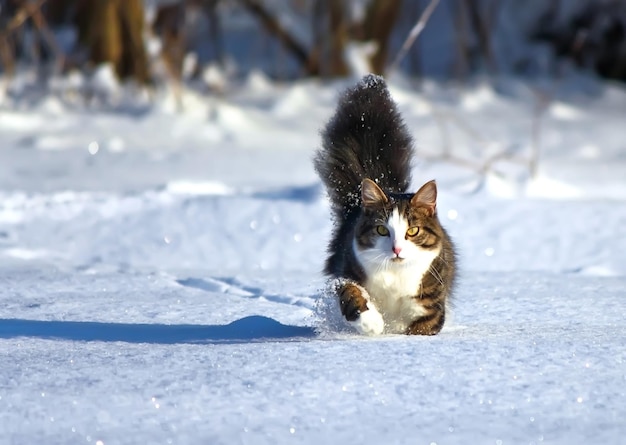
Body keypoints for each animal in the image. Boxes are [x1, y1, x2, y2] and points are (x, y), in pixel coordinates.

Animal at [314, 74, 456, 334]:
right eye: (381, 230)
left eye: (413, 231)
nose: (397, 249)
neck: (395, 276)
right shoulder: (347, 270)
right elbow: (351, 292)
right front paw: (371, 323)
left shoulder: (431, 302)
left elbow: (421, 326)